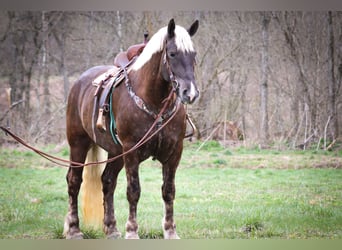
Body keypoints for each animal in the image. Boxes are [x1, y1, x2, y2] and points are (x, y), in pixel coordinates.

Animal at [62, 18, 199, 239]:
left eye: (193, 54)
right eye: (172, 53)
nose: (191, 93)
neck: (153, 102)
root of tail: (79, 83)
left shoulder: (174, 153)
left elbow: (168, 191)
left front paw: (170, 230)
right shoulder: (131, 152)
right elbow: (133, 191)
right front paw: (132, 231)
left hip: (115, 152)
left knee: (107, 181)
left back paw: (111, 228)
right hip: (78, 144)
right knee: (74, 181)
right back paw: (74, 229)